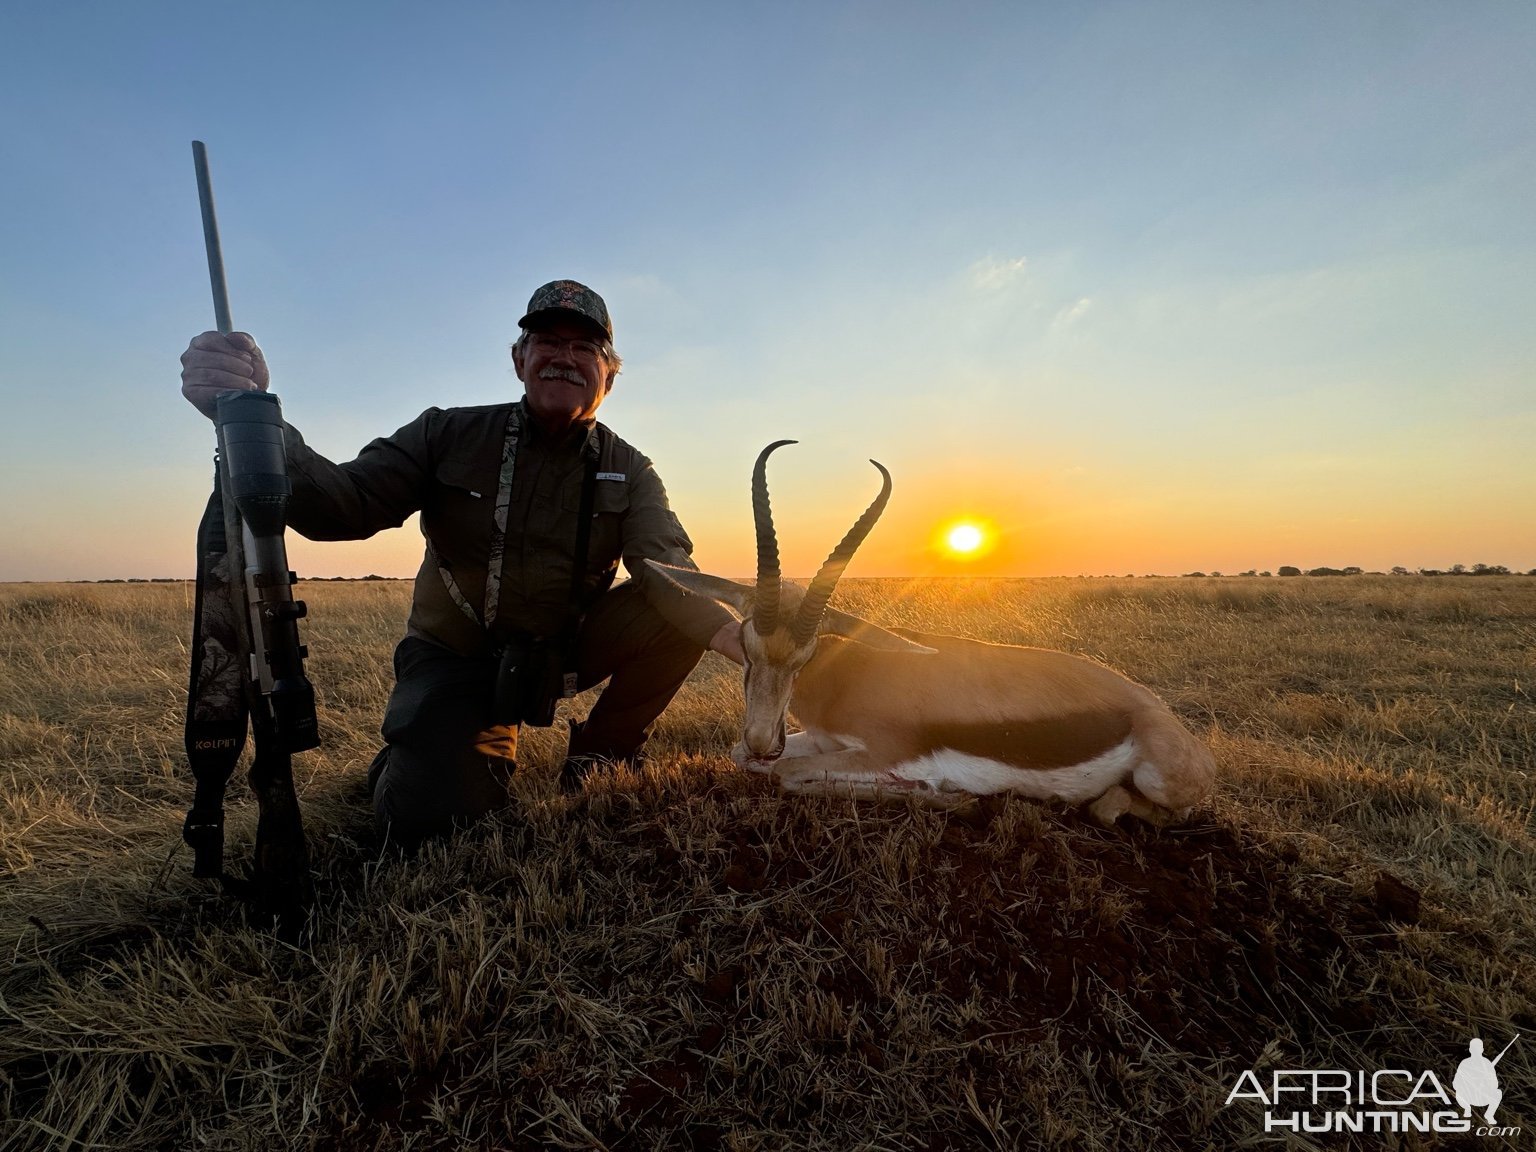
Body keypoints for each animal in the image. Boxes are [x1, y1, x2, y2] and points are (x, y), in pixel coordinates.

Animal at [645, 436, 1210, 823]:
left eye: (807, 656)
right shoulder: (821, 743)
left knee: (1128, 808)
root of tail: (1160, 713)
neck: (849, 673)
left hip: (1157, 781)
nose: (764, 739)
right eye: (746, 646)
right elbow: (740, 756)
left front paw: (950, 795)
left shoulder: (882, 751)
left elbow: (785, 776)